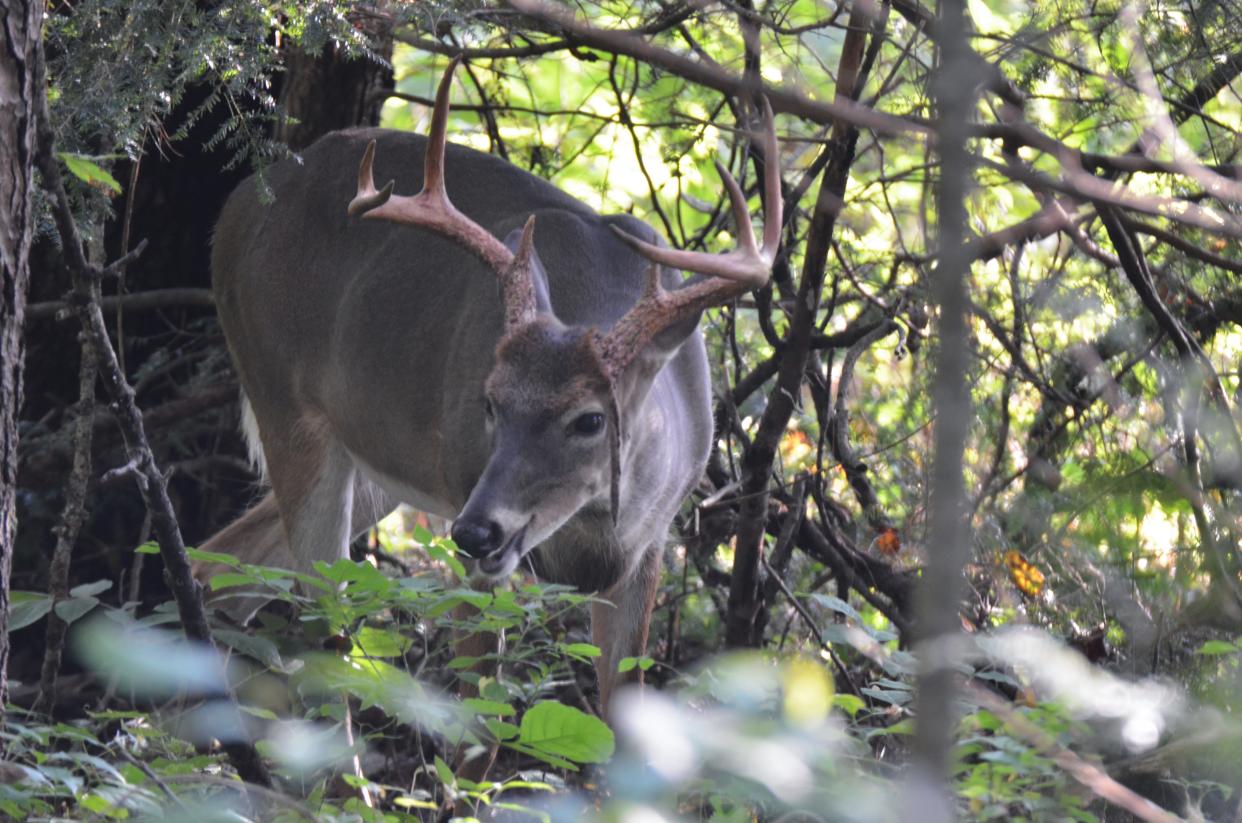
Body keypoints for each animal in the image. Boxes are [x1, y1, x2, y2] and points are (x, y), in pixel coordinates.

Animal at [201, 59, 784, 715]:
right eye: (489, 402)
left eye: (591, 418)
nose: (476, 530)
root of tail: (237, 207)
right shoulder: (467, 507)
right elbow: (478, 712)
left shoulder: (652, 543)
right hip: (288, 401)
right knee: (320, 624)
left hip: (379, 463)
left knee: (223, 568)